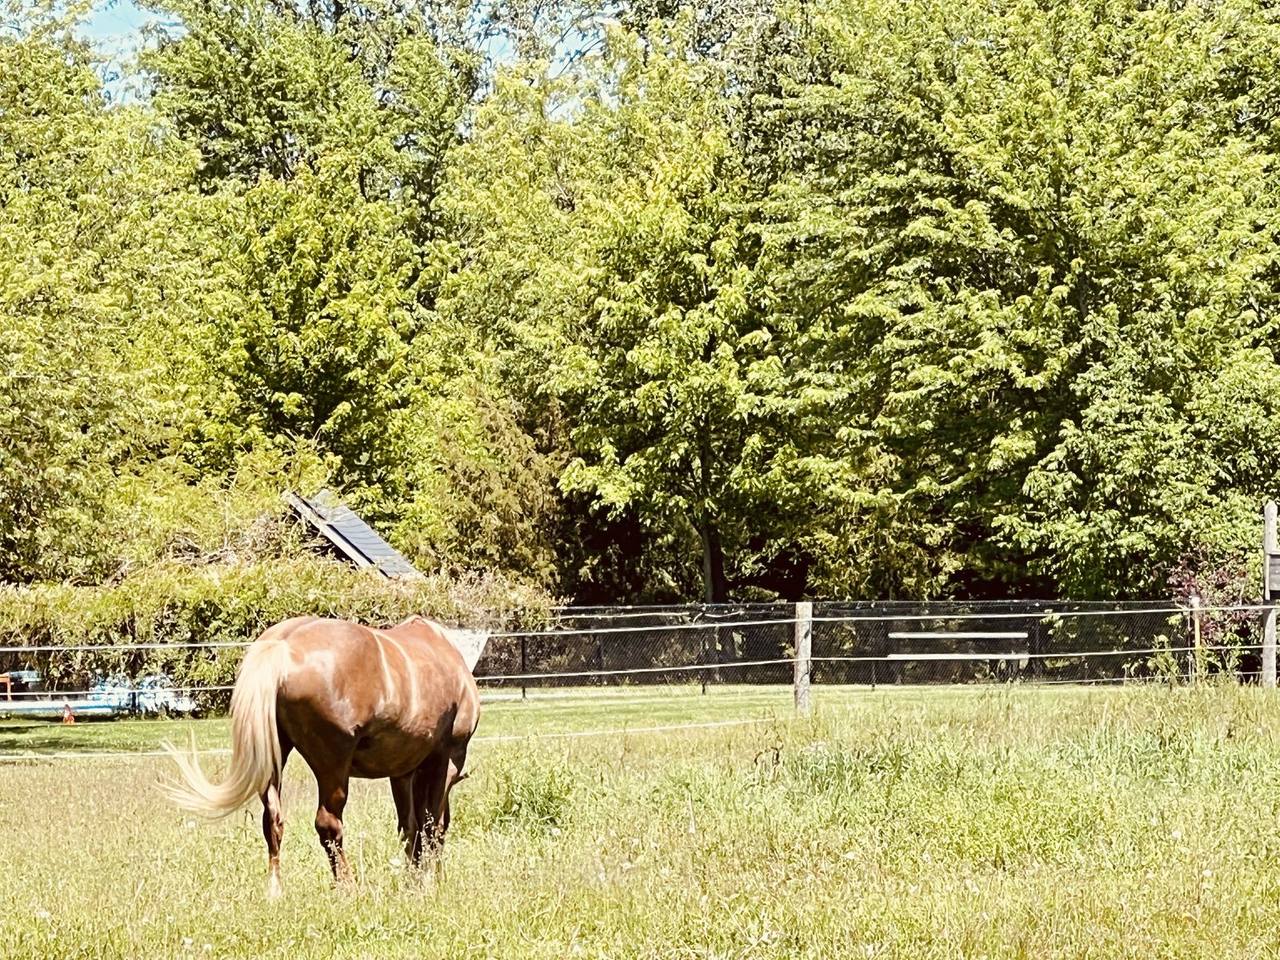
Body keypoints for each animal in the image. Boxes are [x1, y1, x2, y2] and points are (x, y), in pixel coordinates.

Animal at [164, 614, 483, 897]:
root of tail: (282, 645)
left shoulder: (402, 771)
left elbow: (411, 827)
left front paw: (415, 881)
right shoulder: (446, 758)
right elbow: (433, 825)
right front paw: (429, 882)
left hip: (274, 759)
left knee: (273, 821)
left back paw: (275, 892)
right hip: (333, 766)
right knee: (328, 824)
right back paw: (348, 888)